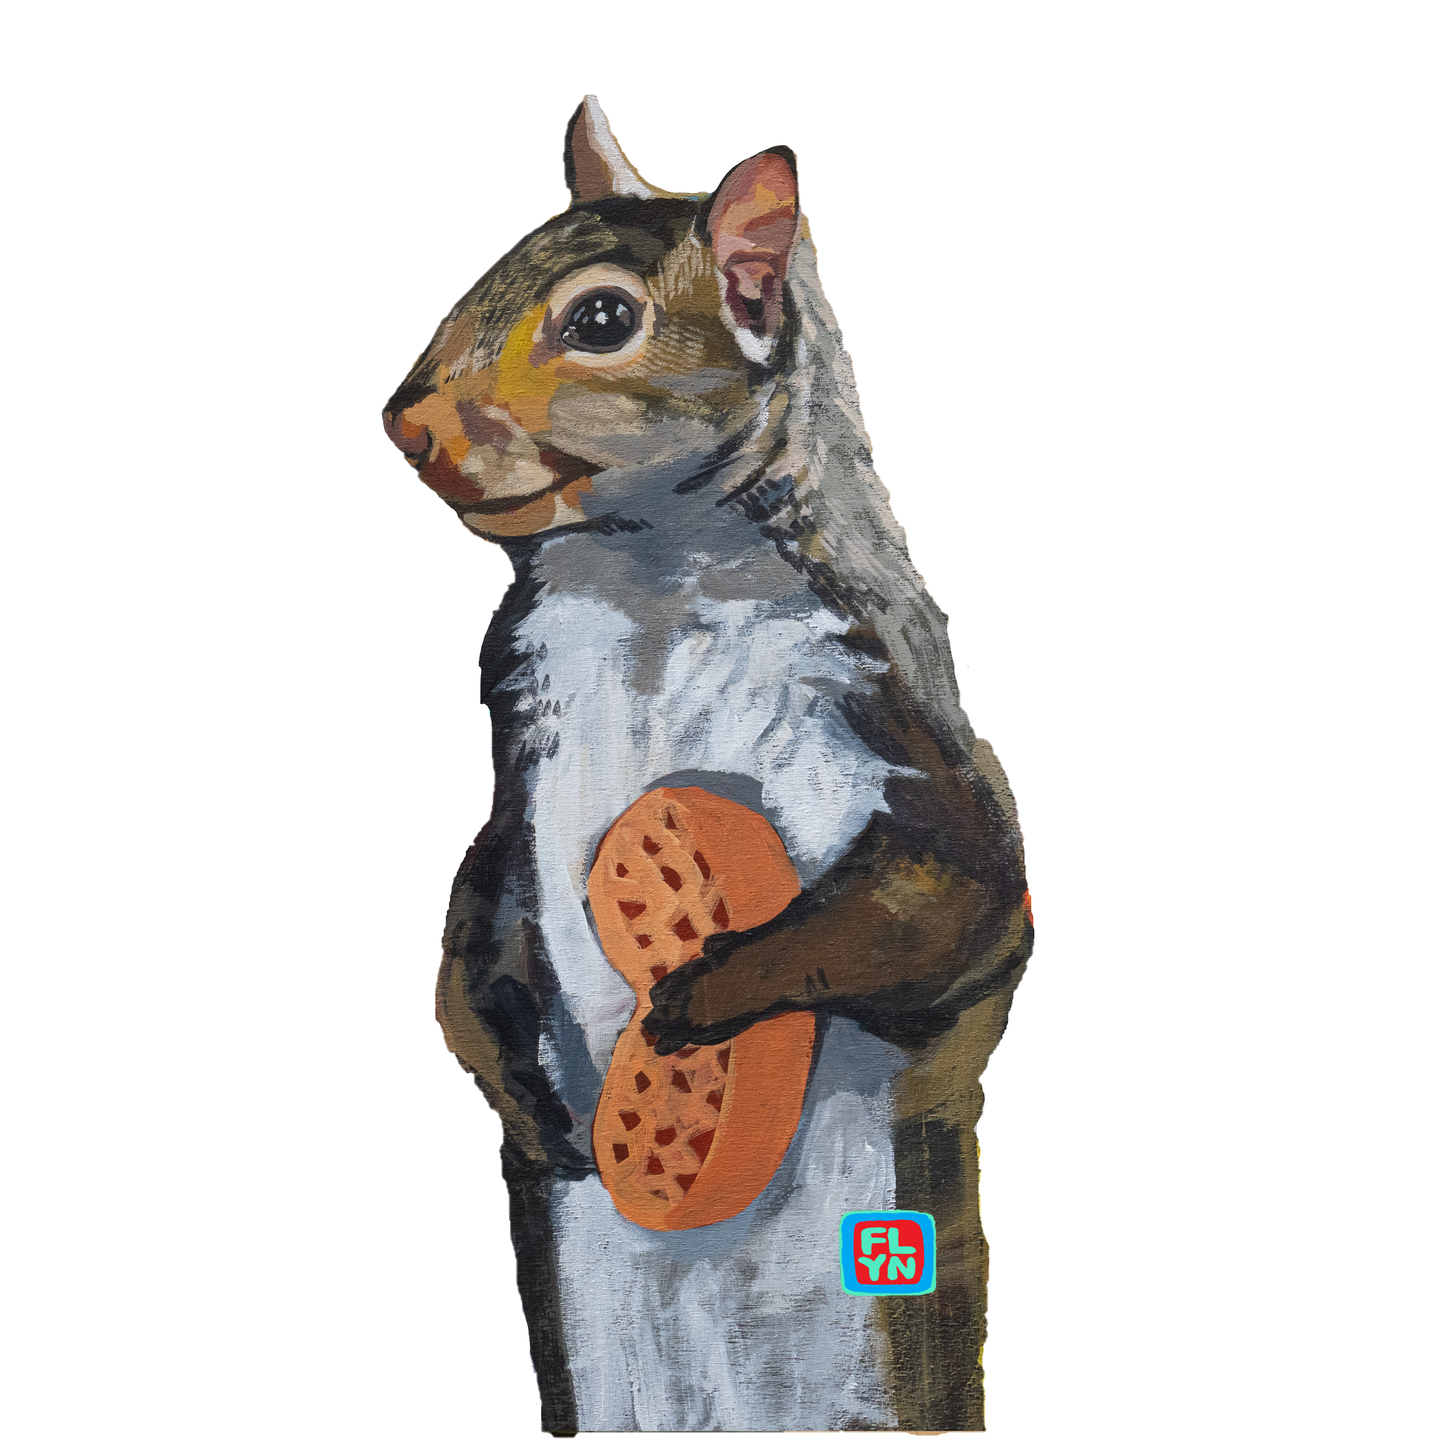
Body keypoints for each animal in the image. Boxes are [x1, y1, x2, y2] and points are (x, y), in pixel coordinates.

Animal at [383, 97, 1032, 1435]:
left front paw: (706, 990)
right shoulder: (518, 760)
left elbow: (953, 900)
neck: (647, 576)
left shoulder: (889, 724)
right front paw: (524, 1086)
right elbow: (473, 909)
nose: (402, 420)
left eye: (600, 319)